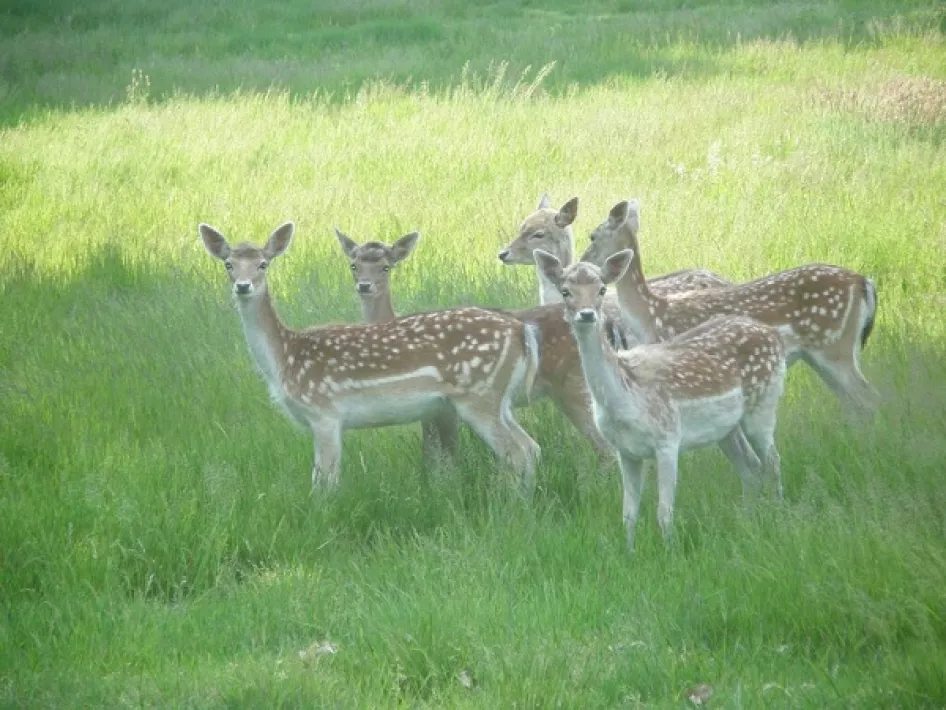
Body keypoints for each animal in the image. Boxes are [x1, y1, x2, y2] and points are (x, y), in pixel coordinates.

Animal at [535, 248, 788, 551]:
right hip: (725, 430)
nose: (586, 314)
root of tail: (773, 335)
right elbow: (628, 514)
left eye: (602, 289)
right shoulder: (626, 450)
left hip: (763, 405)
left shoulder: (667, 438)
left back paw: (779, 519)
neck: (624, 399)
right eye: (565, 291)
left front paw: (670, 553)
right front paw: (629, 553)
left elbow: (664, 512)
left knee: (773, 463)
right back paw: (748, 521)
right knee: (751, 467)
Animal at [580, 199, 880, 414]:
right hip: (825, 354)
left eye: (593, 235)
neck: (651, 314)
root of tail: (863, 282)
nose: (584, 263)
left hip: (835, 346)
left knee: (868, 398)